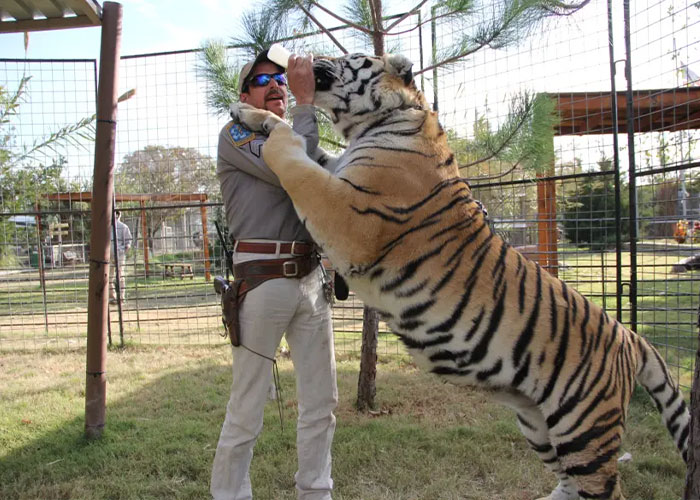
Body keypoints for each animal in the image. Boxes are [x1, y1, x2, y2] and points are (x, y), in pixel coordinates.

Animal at [229, 52, 690, 500]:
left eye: (348, 56)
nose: (305, 60)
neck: (377, 122)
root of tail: (628, 336)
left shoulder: (346, 214)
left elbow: (293, 156)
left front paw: (270, 127)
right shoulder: (337, 170)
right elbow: (300, 140)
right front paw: (246, 112)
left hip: (583, 429)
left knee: (605, 489)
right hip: (538, 422)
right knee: (568, 483)